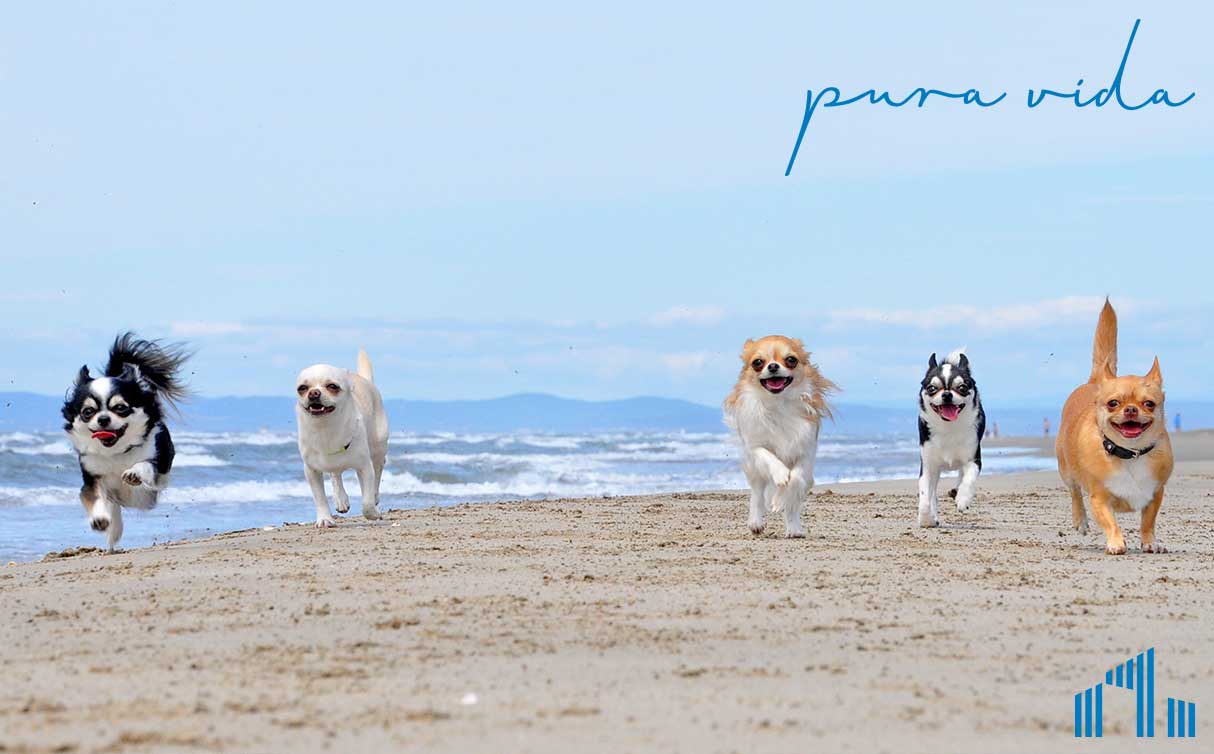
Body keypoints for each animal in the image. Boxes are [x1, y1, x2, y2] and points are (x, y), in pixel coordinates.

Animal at [61, 332, 189, 548]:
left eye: (120, 408)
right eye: (88, 412)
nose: (103, 419)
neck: (116, 452)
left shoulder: (154, 469)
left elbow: (144, 465)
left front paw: (133, 474)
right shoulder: (91, 480)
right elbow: (96, 497)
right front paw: (99, 518)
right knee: (114, 511)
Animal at [293, 349, 388, 526]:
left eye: (332, 386)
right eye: (302, 388)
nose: (313, 393)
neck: (325, 428)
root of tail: (362, 378)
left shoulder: (365, 467)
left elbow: (366, 503)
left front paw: (373, 513)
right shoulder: (311, 471)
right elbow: (319, 498)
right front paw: (324, 519)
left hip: (378, 448)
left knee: (377, 473)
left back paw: (374, 497)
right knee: (335, 474)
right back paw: (341, 499)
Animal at [718, 335, 835, 534]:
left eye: (791, 359)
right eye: (758, 362)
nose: (773, 366)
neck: (778, 403)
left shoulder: (806, 452)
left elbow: (795, 479)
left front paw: (781, 500)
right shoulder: (754, 447)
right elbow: (769, 457)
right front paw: (780, 473)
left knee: (794, 502)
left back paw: (793, 528)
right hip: (754, 471)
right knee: (758, 493)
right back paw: (756, 523)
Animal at [917, 344, 985, 524]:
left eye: (962, 388)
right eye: (932, 389)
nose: (947, 394)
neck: (949, 426)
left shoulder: (973, 460)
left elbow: (969, 479)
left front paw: (963, 499)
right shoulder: (929, 466)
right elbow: (925, 495)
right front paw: (926, 519)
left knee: (962, 475)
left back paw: (957, 492)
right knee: (933, 492)